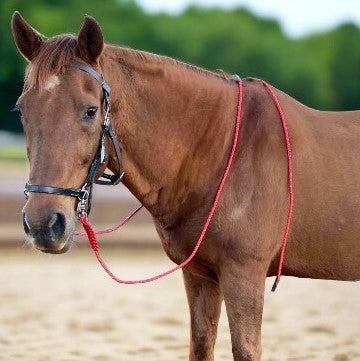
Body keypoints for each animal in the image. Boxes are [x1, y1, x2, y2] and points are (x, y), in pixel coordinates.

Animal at [11, 11, 360, 360]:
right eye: (23, 112)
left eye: (90, 110)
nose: (43, 223)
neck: (224, 150)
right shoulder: (200, 275)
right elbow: (201, 345)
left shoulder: (244, 275)